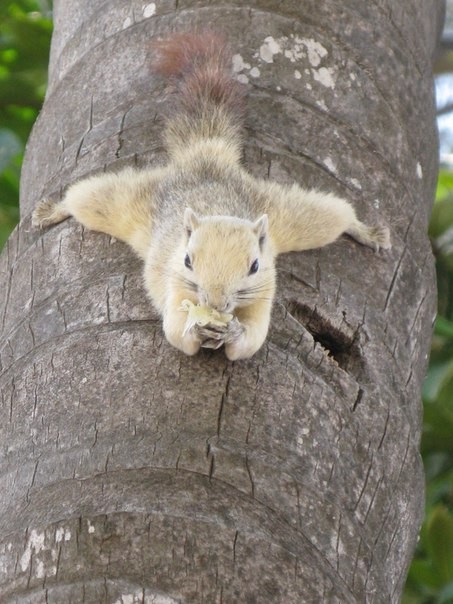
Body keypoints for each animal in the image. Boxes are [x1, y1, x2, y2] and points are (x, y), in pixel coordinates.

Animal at [33, 31, 390, 358]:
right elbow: (176, 333)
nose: (215, 303)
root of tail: (207, 153)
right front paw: (194, 328)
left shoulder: (266, 289)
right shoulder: (175, 281)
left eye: (255, 266)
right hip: (123, 202)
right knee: (85, 197)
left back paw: (369, 232)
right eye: (188, 260)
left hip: (293, 217)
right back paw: (52, 210)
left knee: (337, 215)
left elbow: (251, 342)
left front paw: (234, 333)